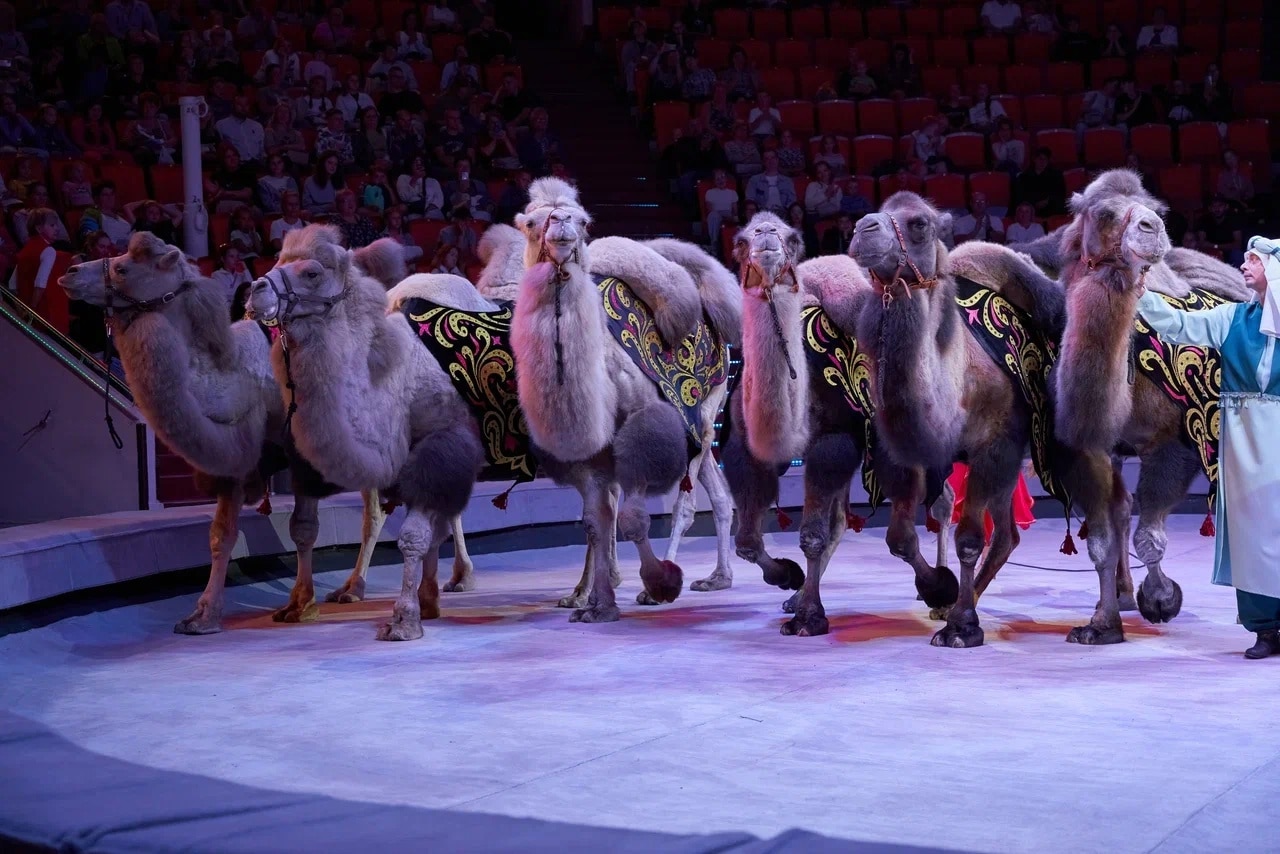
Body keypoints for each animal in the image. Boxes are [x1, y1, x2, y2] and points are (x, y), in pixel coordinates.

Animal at [56, 231, 384, 635]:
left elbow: (303, 528)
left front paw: (300, 604)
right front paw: (202, 616)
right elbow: (220, 535)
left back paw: (361, 588)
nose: (70, 271)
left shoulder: (299, 455)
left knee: (376, 514)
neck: (241, 376)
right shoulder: (235, 460)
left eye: (122, 268)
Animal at [250, 226, 488, 640]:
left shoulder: (438, 442)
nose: (255, 289)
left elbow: (413, 533)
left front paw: (404, 619)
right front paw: (303, 602)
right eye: (278, 260)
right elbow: (314, 526)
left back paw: (460, 577)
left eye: (312, 273)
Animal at [509, 179, 737, 622]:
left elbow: (628, 518)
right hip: (697, 424)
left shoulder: (638, 432)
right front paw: (593, 602)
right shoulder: (590, 454)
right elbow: (596, 521)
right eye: (530, 222)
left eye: (582, 221)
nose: (562, 223)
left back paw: (667, 578)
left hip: (705, 409)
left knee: (686, 503)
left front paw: (656, 584)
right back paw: (718, 577)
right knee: (718, 492)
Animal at [849, 193, 1070, 647]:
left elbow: (969, 539)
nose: (864, 228)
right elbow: (900, 538)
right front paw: (939, 590)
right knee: (1007, 535)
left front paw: (963, 626)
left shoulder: (993, 445)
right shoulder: (909, 452)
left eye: (918, 224)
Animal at [1049, 171, 1249, 640]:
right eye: (1104, 212)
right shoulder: (1089, 447)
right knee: (1122, 509)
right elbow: (1101, 539)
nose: (1151, 228)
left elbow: (1149, 535)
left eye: (1157, 210)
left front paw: (1161, 599)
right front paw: (1102, 623)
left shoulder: (1174, 440)